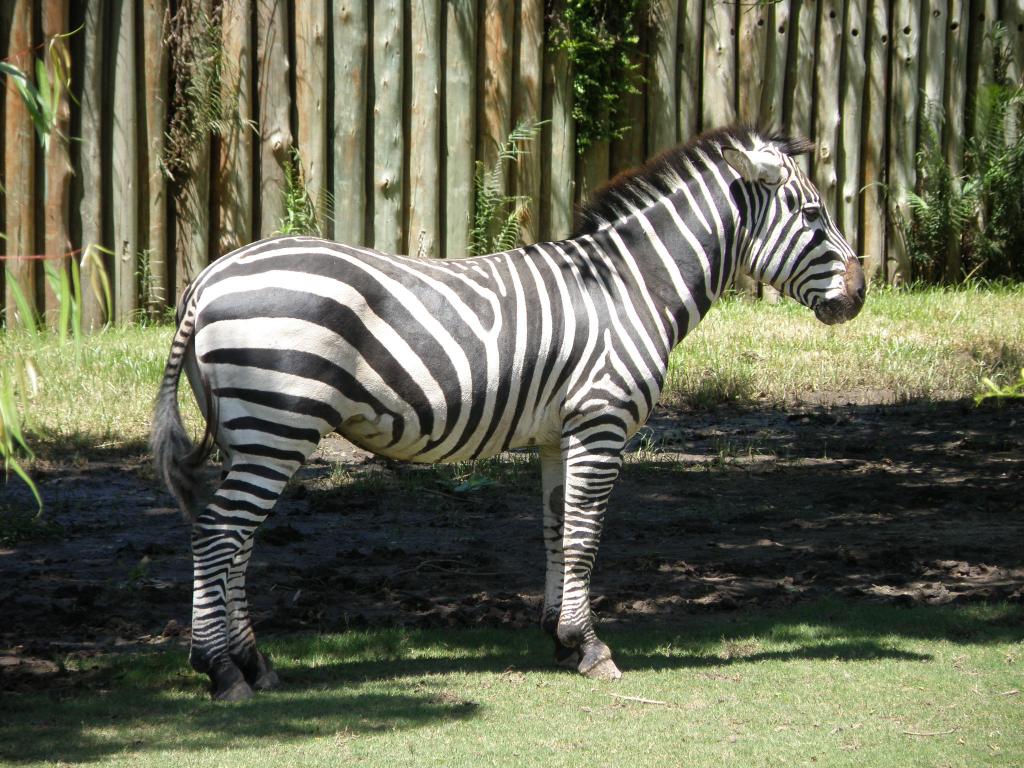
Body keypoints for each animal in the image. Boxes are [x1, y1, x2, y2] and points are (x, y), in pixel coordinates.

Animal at [151, 128, 864, 704]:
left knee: (237, 542)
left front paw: (562, 640)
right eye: (812, 213)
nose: (859, 294)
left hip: (252, 434)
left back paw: (254, 663)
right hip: (277, 423)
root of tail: (208, 278)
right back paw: (221, 671)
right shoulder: (602, 422)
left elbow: (556, 530)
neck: (631, 288)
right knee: (217, 533)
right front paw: (590, 646)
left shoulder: (560, 435)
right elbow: (585, 534)